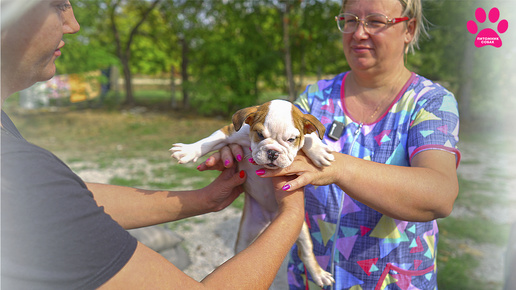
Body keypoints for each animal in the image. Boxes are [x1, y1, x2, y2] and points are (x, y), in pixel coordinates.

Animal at [171, 99, 336, 288]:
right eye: (260, 134)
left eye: (291, 139)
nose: (273, 152)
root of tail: (270, 218)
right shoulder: (229, 132)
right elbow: (208, 141)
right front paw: (188, 150)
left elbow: (309, 136)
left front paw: (319, 151)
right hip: (245, 234)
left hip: (301, 229)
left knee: (307, 252)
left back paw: (319, 274)